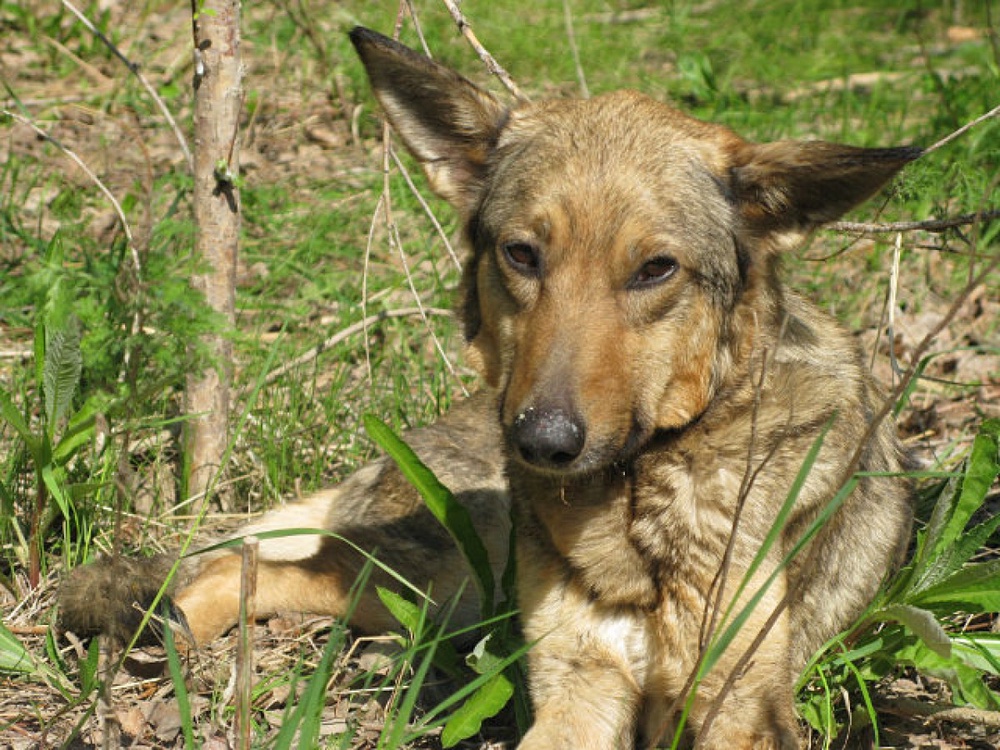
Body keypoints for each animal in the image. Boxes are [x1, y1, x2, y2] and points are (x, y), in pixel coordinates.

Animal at [56, 26, 916, 748]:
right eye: (522, 253)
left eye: (655, 270)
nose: (541, 441)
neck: (640, 493)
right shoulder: (578, 689)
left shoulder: (740, 708)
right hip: (448, 579)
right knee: (250, 566)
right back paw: (161, 631)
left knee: (269, 570)